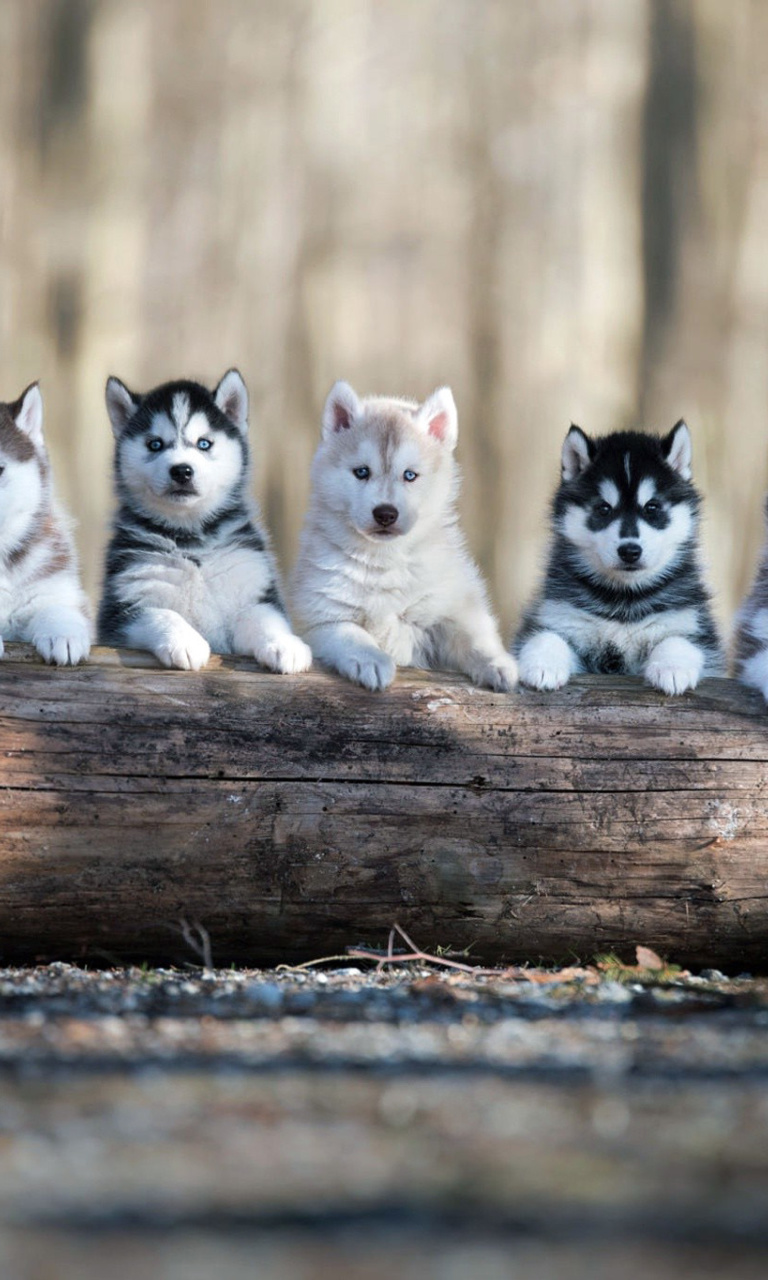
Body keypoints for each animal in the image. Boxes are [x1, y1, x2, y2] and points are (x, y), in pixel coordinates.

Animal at [99, 368, 312, 675]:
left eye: (203, 443)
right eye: (155, 444)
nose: (181, 471)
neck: (191, 540)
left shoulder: (253, 589)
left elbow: (264, 618)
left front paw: (284, 644)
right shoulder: (122, 608)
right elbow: (161, 613)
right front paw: (185, 641)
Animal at [290, 378, 519, 696]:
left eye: (410, 475)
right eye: (362, 472)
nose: (385, 514)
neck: (383, 559)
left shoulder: (452, 605)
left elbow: (473, 637)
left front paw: (498, 663)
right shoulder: (321, 618)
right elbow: (352, 634)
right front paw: (372, 660)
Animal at [512, 422, 721, 696]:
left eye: (652, 507)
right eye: (604, 509)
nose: (630, 551)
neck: (623, 599)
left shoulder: (692, 624)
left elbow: (679, 640)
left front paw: (672, 668)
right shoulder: (562, 616)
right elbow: (546, 636)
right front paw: (542, 664)